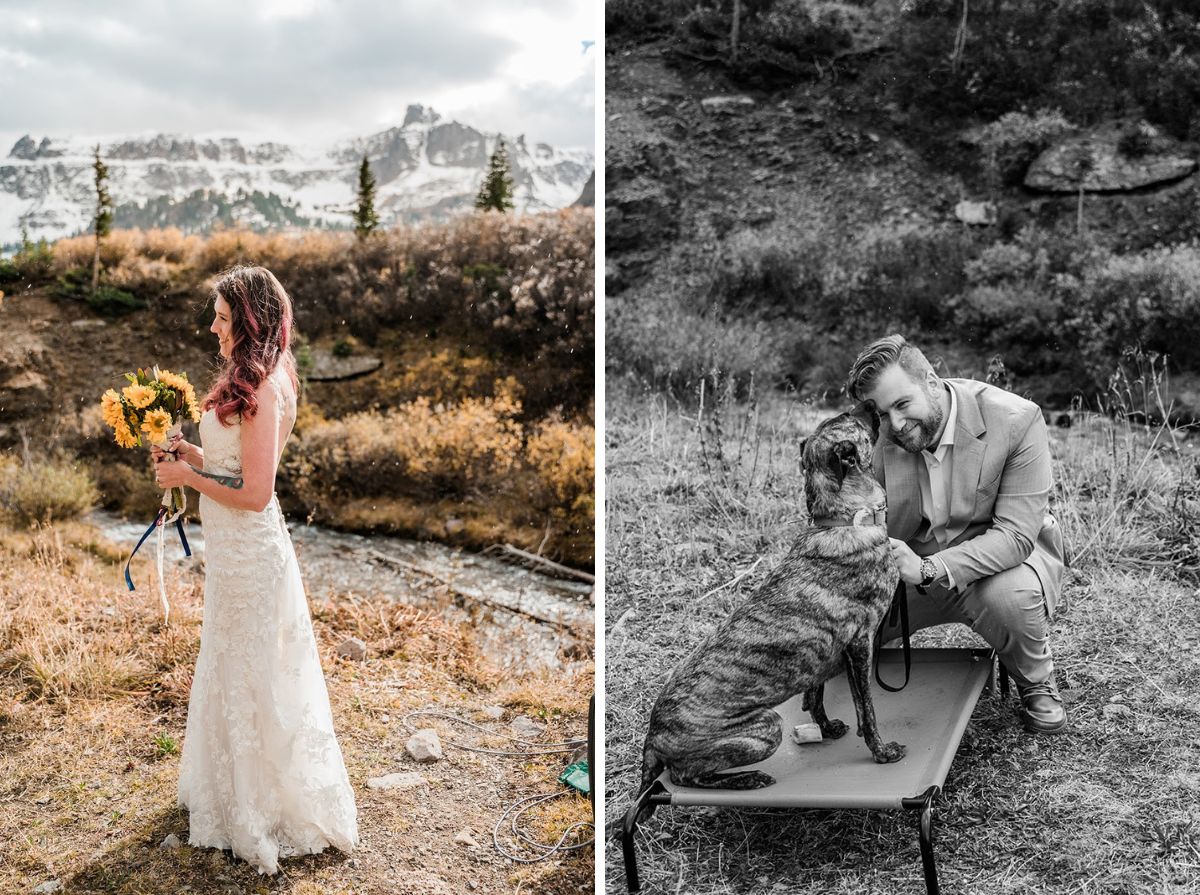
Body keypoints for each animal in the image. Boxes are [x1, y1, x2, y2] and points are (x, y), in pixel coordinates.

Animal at [638, 407, 902, 791]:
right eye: (852, 417)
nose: (870, 404)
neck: (841, 521)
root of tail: (651, 739)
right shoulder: (860, 646)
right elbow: (866, 710)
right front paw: (881, 752)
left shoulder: (826, 655)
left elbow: (815, 696)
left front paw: (825, 728)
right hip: (765, 728)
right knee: (685, 775)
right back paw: (748, 779)